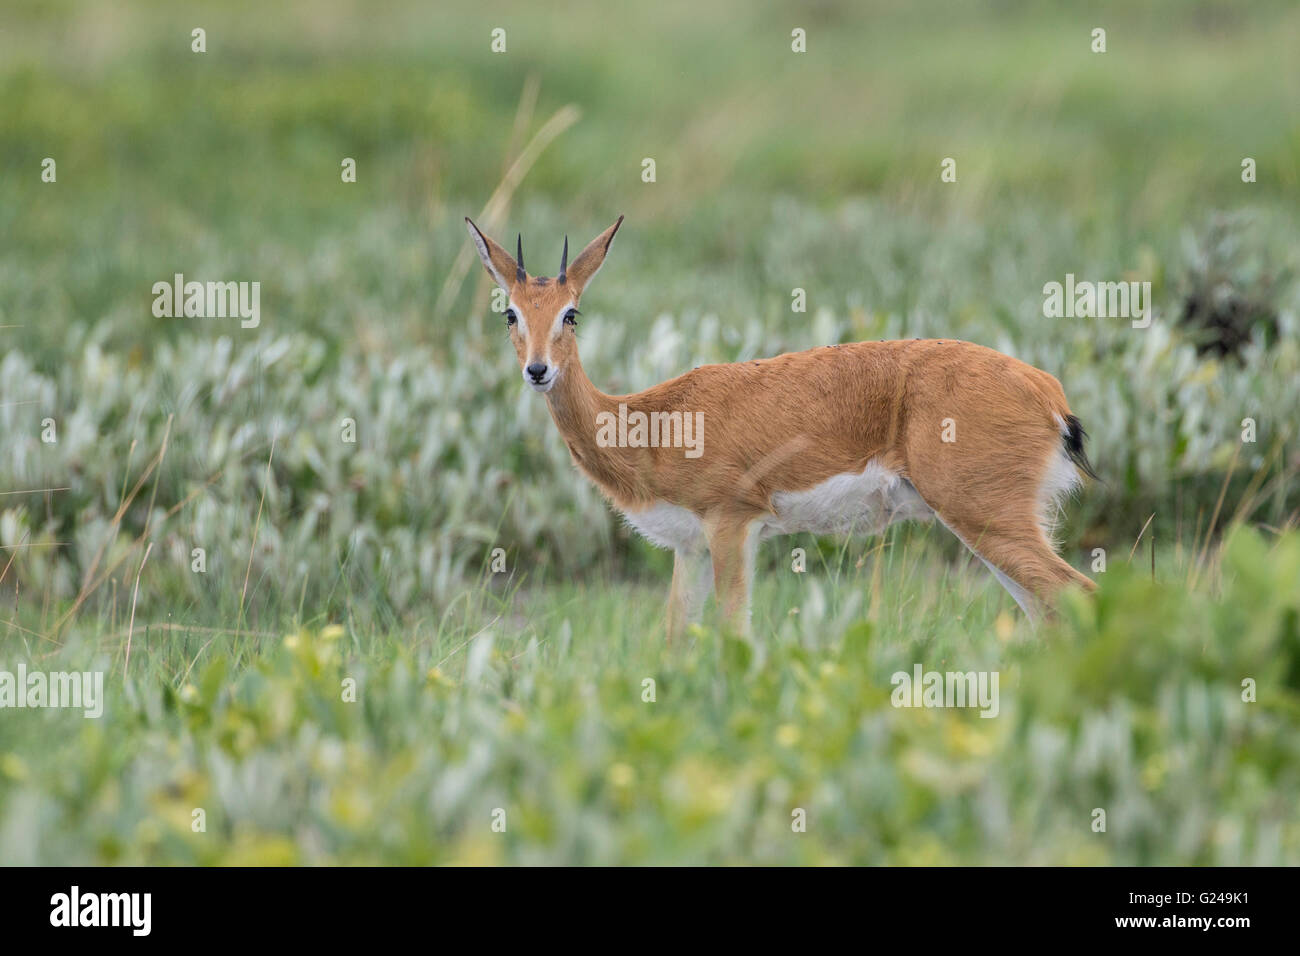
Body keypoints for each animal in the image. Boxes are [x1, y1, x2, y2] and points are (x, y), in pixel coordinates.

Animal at [467, 213, 1097, 639]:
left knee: (1079, 592)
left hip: (986, 519)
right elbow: (675, 639)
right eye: (510, 312)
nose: (538, 370)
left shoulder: (732, 525)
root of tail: (1047, 391)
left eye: (571, 313)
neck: (654, 424)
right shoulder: (689, 549)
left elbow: (734, 632)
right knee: (1048, 613)